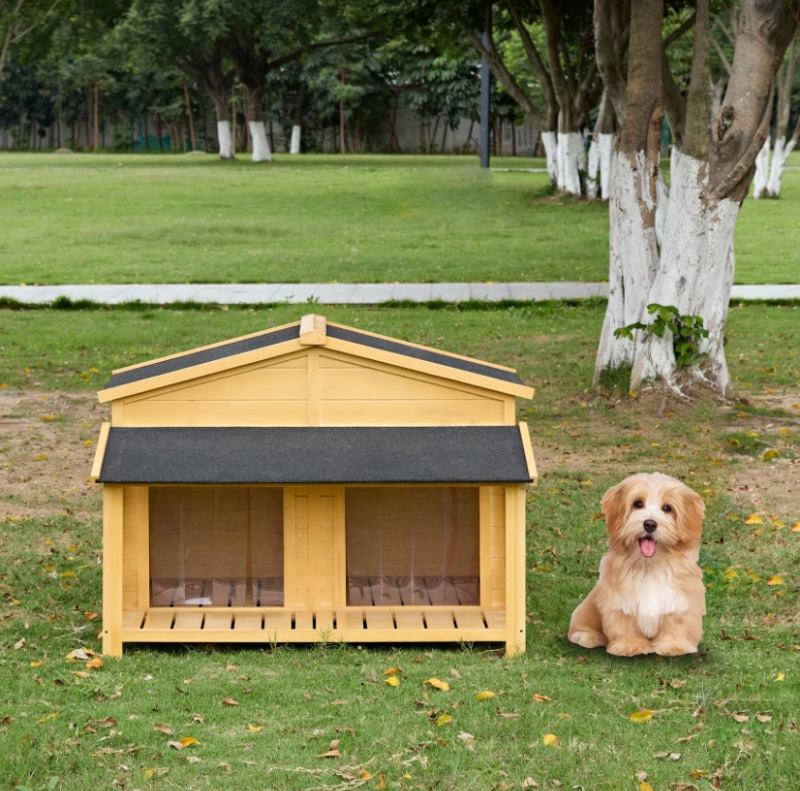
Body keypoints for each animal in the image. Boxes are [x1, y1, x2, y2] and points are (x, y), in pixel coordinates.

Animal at [568, 474, 708, 660]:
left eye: (667, 508)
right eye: (638, 504)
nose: (650, 524)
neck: (649, 566)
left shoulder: (679, 600)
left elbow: (676, 623)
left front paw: (674, 646)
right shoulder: (620, 601)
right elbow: (624, 623)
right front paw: (629, 646)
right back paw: (587, 637)